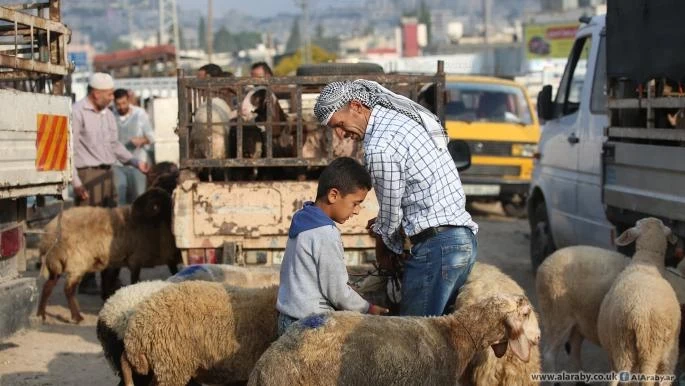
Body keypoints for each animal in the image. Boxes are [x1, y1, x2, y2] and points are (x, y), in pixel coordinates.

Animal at [36, 187, 182, 322]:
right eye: (166, 206)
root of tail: (48, 235)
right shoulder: (135, 260)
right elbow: (134, 281)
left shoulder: (117, 260)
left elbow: (109, 279)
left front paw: (107, 298)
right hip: (76, 263)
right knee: (68, 290)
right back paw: (77, 317)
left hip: (55, 263)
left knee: (48, 286)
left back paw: (41, 314)